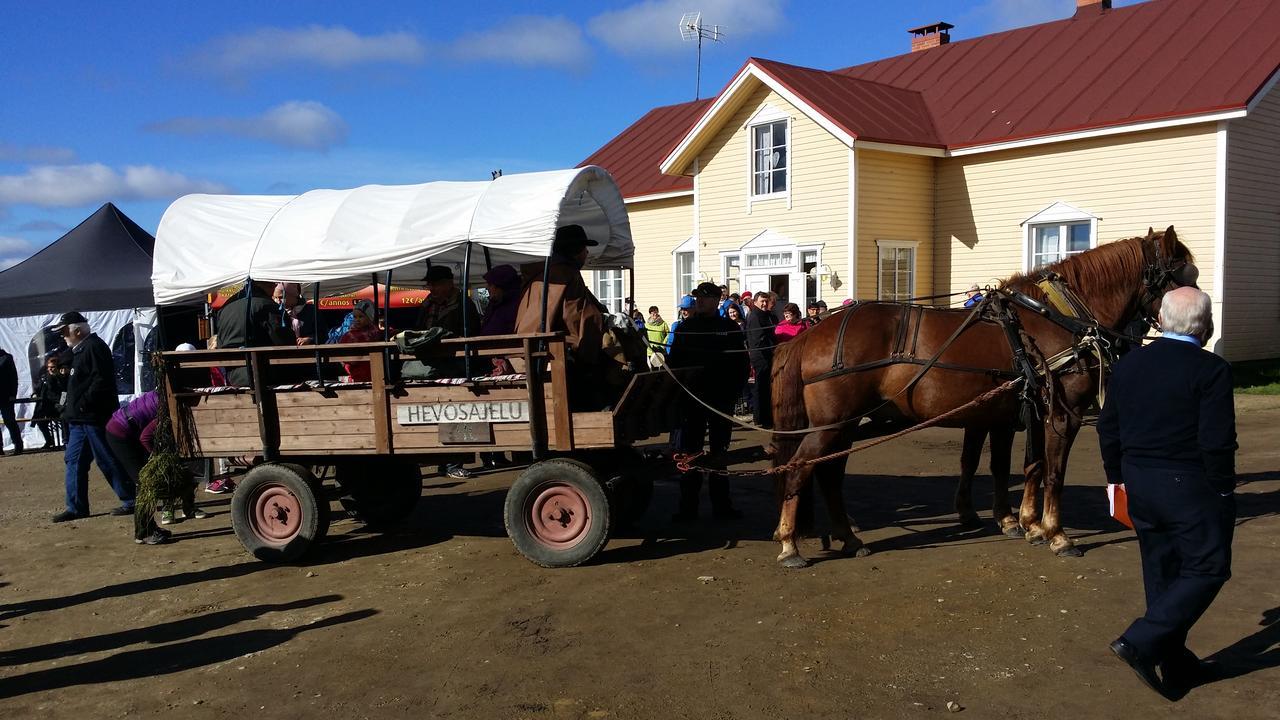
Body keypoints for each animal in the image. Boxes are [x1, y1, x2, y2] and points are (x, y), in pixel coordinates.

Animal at [768, 226, 1198, 563]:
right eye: (1186, 273)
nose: (1202, 324)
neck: (1055, 319)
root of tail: (812, 331)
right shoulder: (1063, 414)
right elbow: (1053, 472)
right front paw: (1056, 534)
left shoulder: (1019, 414)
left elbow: (1023, 466)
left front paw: (1026, 523)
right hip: (832, 423)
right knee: (802, 466)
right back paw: (790, 544)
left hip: (844, 422)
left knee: (829, 473)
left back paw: (846, 536)